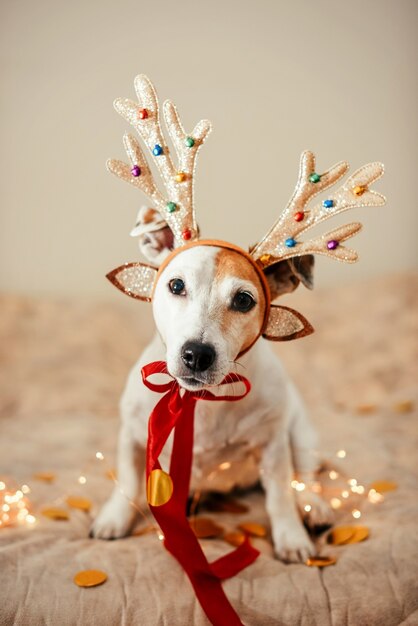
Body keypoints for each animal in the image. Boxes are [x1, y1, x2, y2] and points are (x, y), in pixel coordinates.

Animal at [91, 213, 334, 560]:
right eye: (176, 285)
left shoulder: (273, 447)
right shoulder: (134, 435)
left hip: (301, 435)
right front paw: (115, 517)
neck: (202, 399)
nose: (197, 354)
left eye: (244, 300)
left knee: (305, 476)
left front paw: (291, 537)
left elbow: (280, 495)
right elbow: (127, 479)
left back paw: (314, 508)